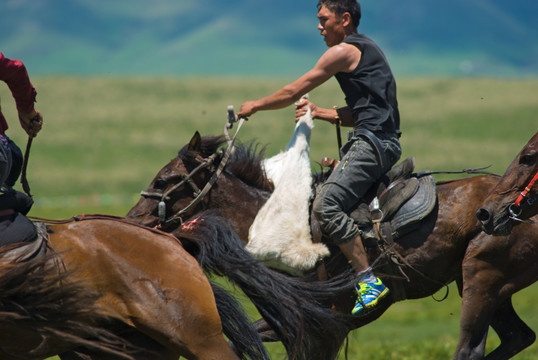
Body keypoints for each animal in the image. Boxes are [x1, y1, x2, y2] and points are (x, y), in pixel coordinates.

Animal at [124, 133, 536, 360]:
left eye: (165, 180)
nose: (131, 220)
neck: (285, 231)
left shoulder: (330, 325)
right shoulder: (298, 319)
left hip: (481, 277)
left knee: (471, 347)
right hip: (486, 285)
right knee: (519, 336)